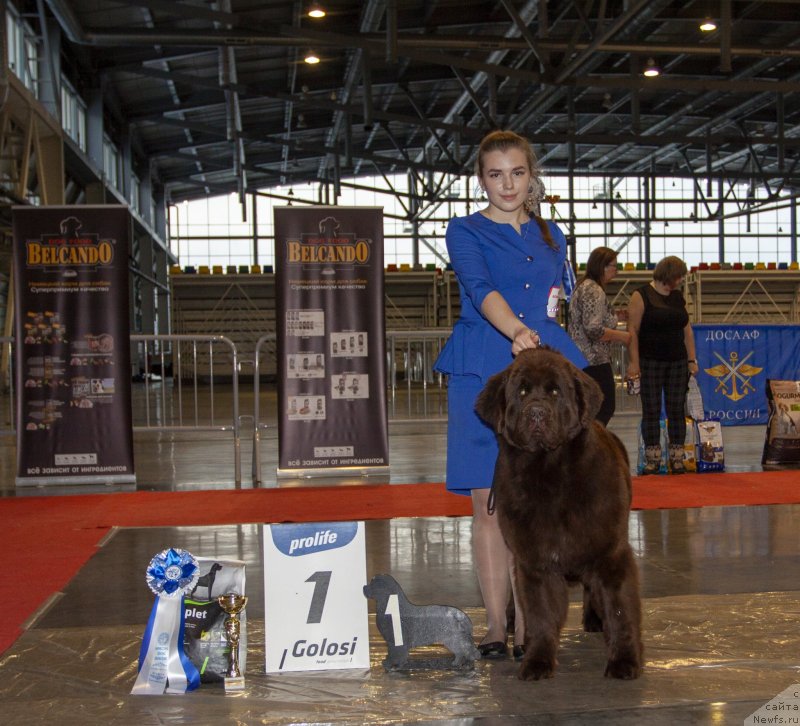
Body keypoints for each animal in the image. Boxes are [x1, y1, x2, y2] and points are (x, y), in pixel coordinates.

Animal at [476, 346, 644, 684]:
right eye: (522, 392)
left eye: (555, 392)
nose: (536, 413)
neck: (549, 473)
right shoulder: (534, 561)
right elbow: (540, 614)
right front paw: (536, 662)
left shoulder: (610, 552)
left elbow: (620, 609)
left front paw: (624, 662)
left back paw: (594, 619)